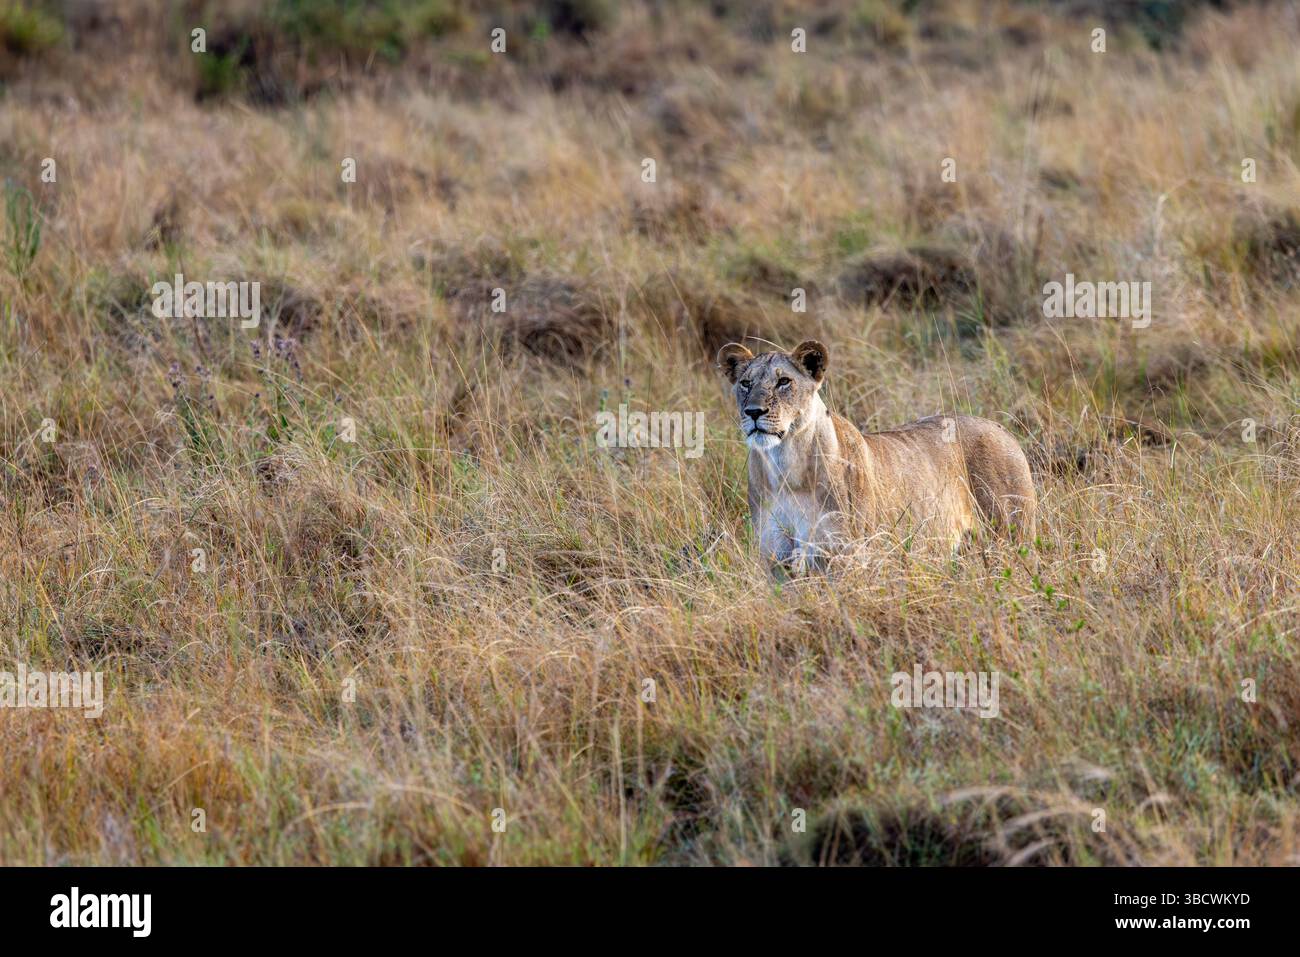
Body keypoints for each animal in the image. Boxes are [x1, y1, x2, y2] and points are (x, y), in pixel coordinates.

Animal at [716, 340, 1036, 571]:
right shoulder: (775, 561)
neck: (786, 467)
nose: (753, 412)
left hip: (1011, 539)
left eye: (784, 382)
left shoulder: (846, 556)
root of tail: (1000, 428)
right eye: (745, 383)